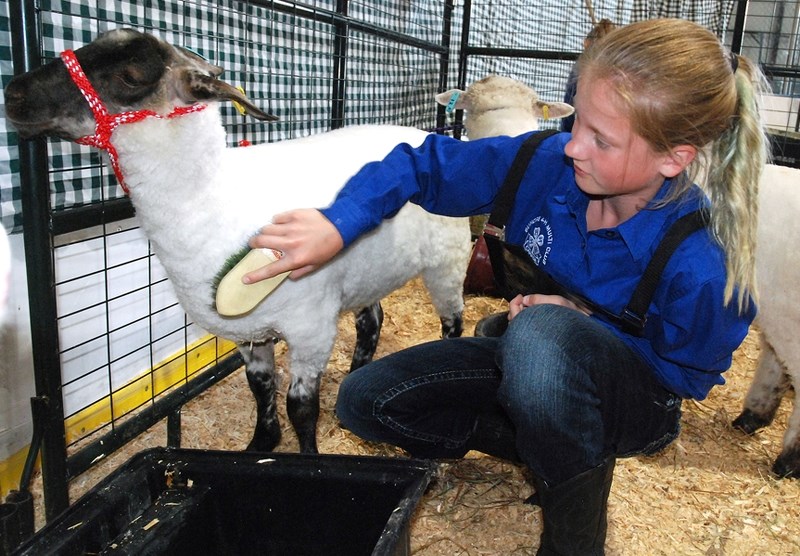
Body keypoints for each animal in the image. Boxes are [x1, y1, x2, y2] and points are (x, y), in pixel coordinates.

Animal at [3, 29, 472, 452]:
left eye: (131, 75)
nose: (13, 93)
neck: (213, 196)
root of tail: (429, 136)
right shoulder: (249, 332)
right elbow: (259, 386)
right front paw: (261, 443)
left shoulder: (311, 327)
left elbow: (300, 406)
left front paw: (308, 458)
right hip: (366, 274)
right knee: (371, 320)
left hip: (447, 261)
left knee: (452, 323)